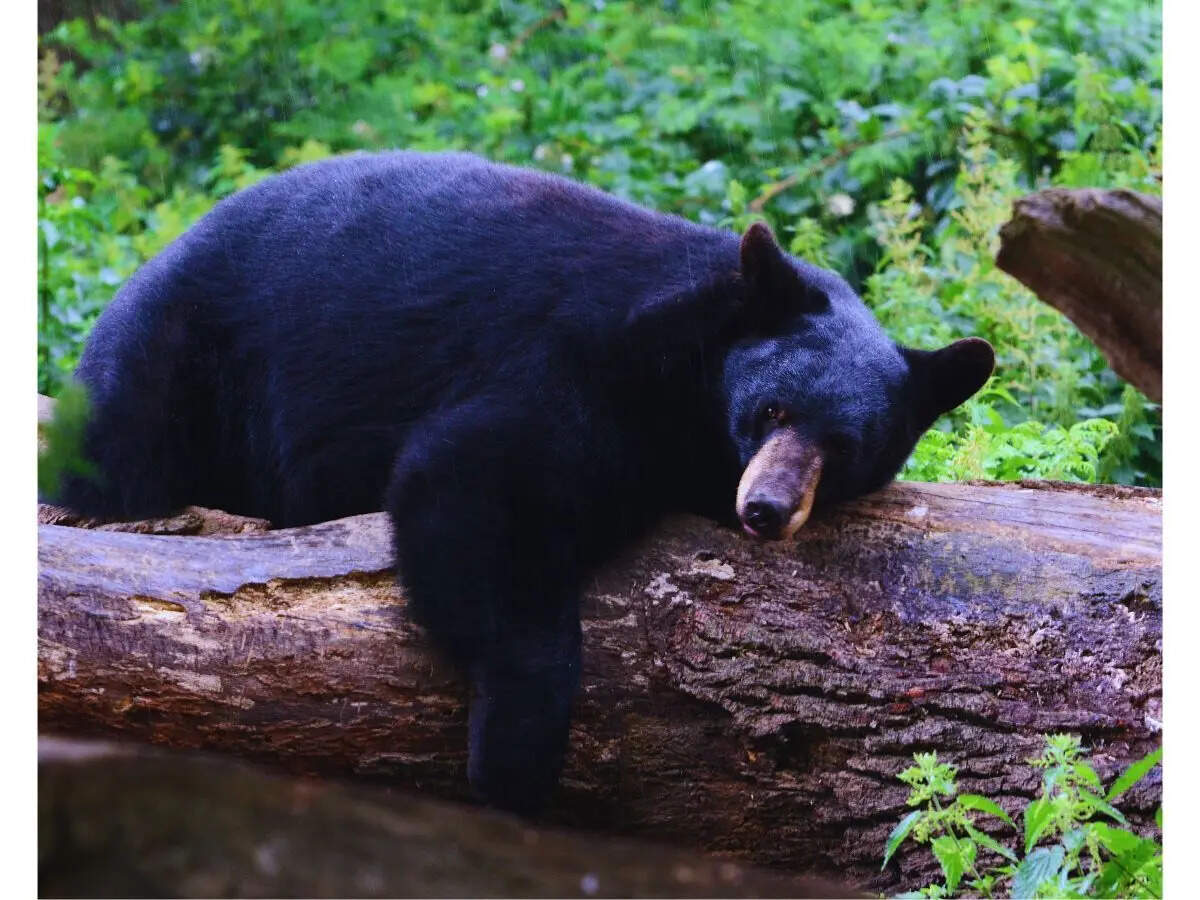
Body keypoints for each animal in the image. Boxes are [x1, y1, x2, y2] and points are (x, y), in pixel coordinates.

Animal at [52, 151, 994, 813]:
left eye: (846, 447)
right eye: (771, 409)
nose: (765, 509)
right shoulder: (583, 360)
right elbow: (478, 482)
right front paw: (516, 758)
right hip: (182, 357)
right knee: (122, 448)